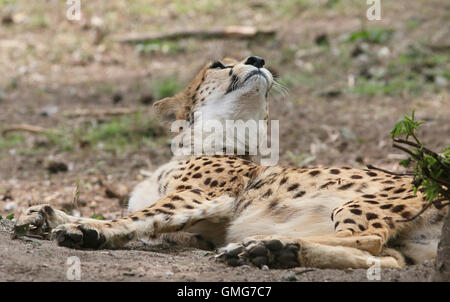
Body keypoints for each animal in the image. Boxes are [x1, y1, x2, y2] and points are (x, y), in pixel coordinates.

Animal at [17, 56, 446, 268]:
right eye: (219, 65)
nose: (258, 57)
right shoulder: (197, 232)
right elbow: (135, 218)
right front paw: (44, 215)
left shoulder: (201, 197)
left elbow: (133, 217)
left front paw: (85, 230)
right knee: (388, 259)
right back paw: (273, 252)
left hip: (357, 201)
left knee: (371, 240)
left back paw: (262, 244)